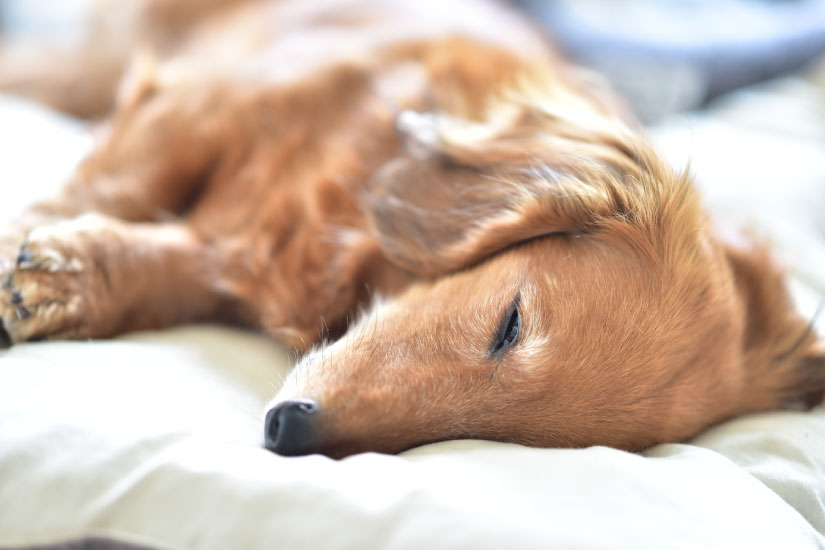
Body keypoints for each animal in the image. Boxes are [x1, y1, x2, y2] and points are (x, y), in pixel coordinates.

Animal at [1, 0, 824, 460]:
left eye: (495, 441)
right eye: (509, 324)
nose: (285, 433)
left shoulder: (221, 260)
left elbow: (159, 270)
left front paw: (61, 280)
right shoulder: (199, 106)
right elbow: (117, 185)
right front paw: (32, 245)